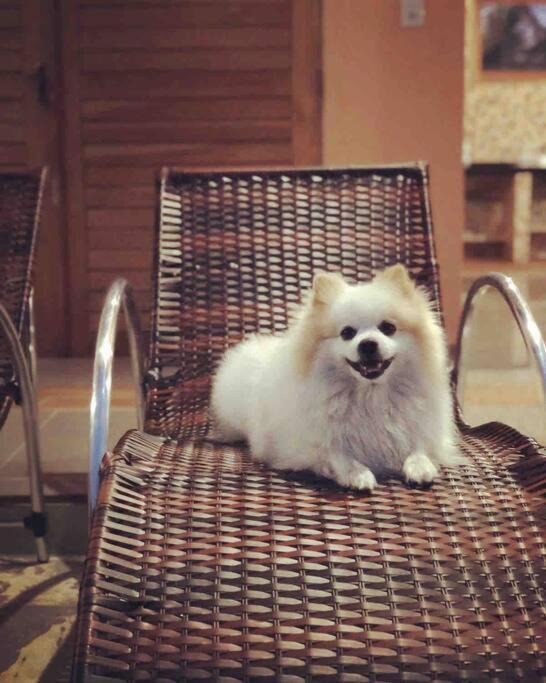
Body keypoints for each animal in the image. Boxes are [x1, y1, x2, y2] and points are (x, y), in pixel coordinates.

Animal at [210, 264, 456, 492]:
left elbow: (418, 445)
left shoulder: (420, 429)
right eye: (347, 333)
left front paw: (419, 465)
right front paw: (357, 474)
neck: (370, 395)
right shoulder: (298, 445)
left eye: (388, 328)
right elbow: (335, 453)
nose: (367, 344)